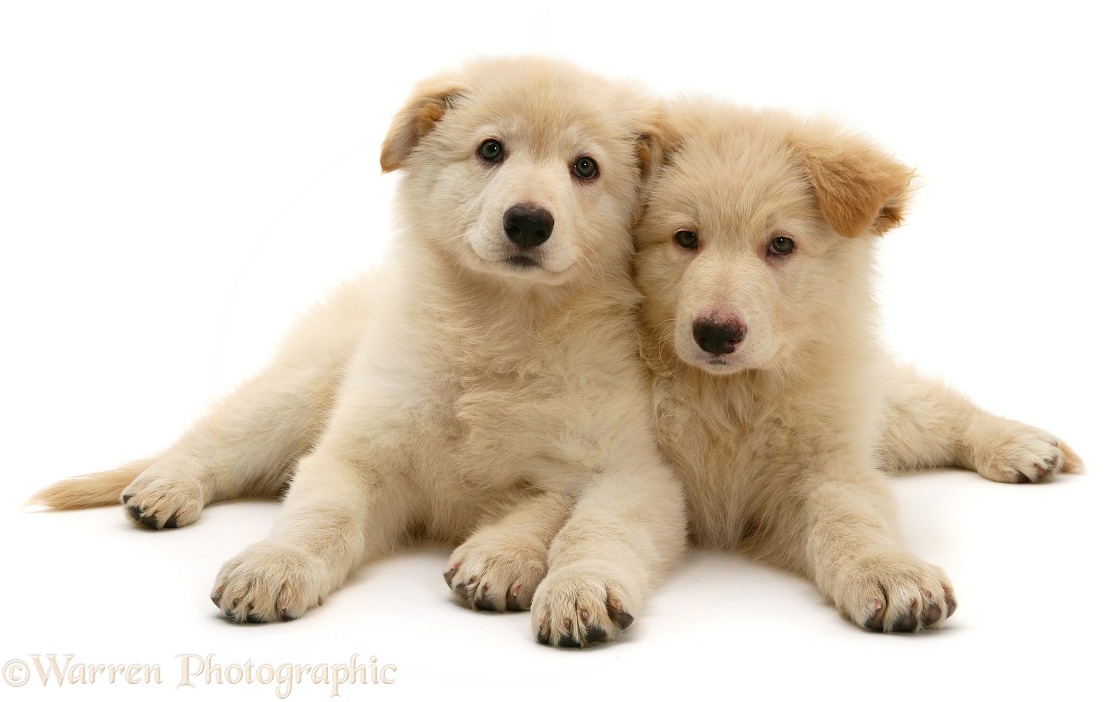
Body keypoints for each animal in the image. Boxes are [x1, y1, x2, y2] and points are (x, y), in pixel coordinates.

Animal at [32, 59, 680, 649]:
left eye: (585, 167)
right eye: (491, 150)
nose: (527, 222)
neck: (504, 323)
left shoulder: (624, 470)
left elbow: (573, 522)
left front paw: (539, 573)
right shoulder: (361, 449)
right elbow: (325, 515)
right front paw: (275, 565)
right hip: (300, 390)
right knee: (212, 440)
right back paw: (163, 487)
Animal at [636, 97, 1079, 631]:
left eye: (781, 244)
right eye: (685, 238)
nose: (716, 334)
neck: (731, 393)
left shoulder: (829, 459)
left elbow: (851, 517)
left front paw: (888, 572)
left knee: (935, 410)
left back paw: (1020, 445)